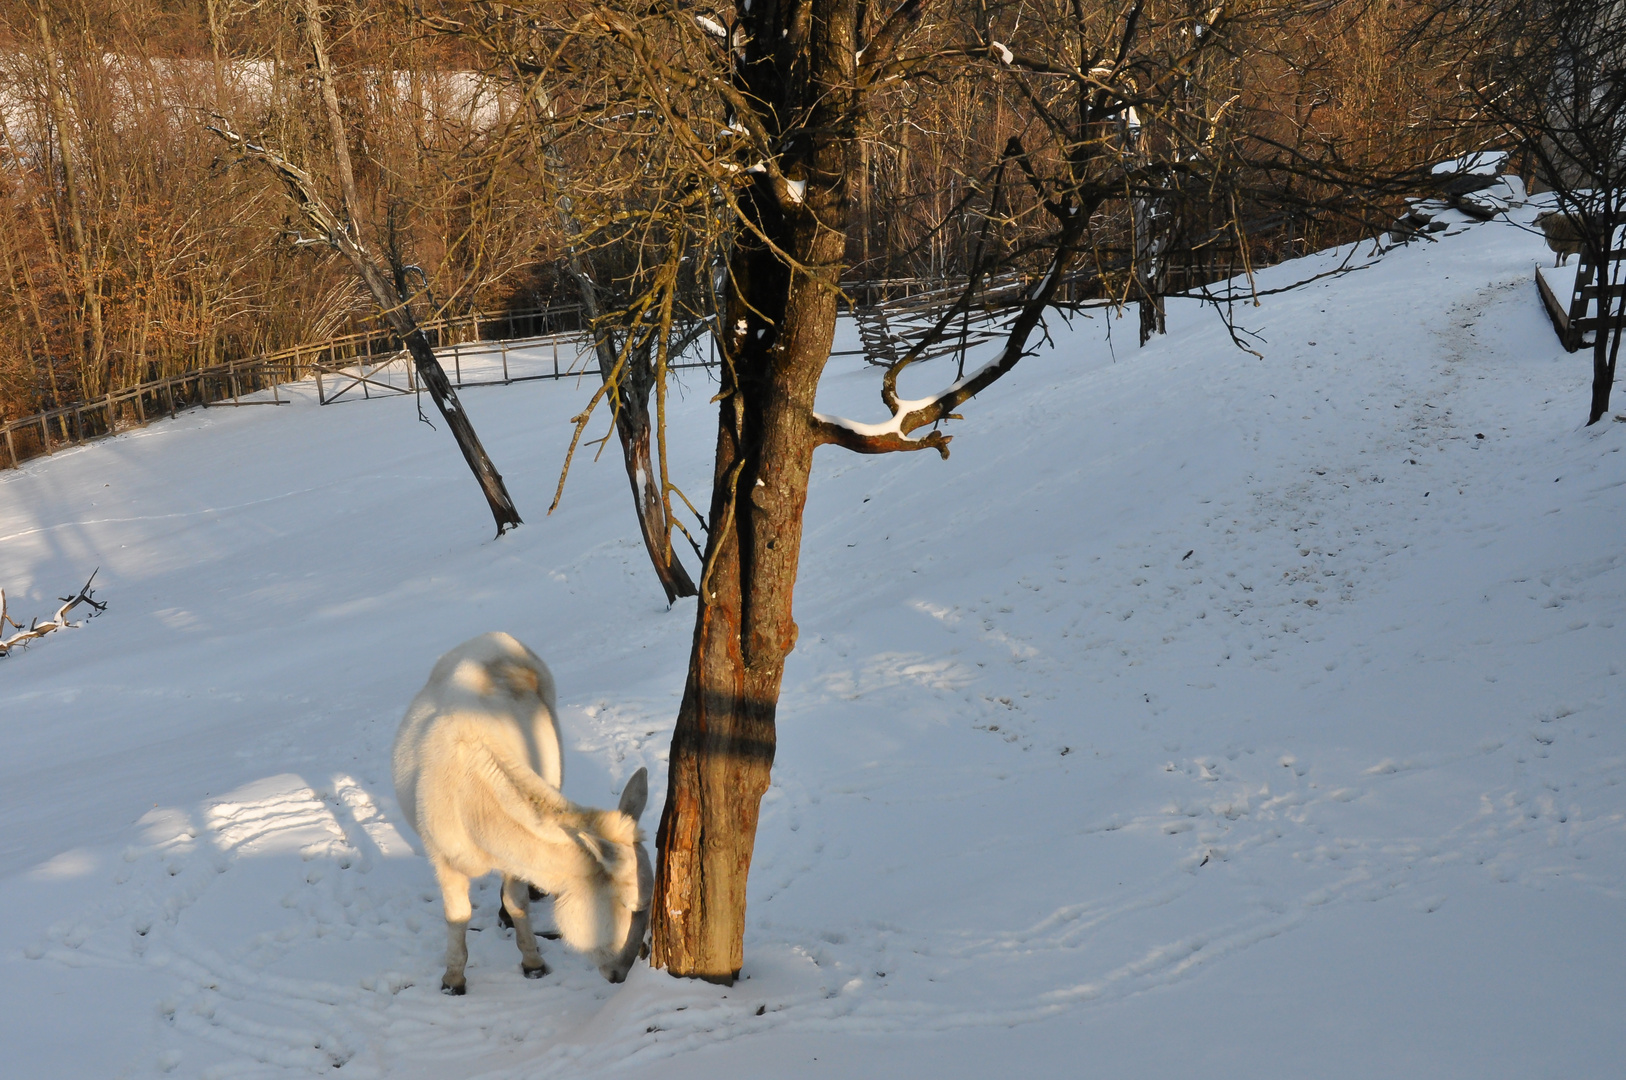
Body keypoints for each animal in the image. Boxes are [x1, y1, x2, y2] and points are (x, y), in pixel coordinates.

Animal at [390, 634, 650, 995]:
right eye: (628, 906)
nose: (621, 973)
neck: (474, 805)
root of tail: (496, 636)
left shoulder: (512, 857)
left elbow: (517, 902)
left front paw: (533, 962)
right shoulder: (443, 858)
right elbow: (457, 914)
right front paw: (453, 979)